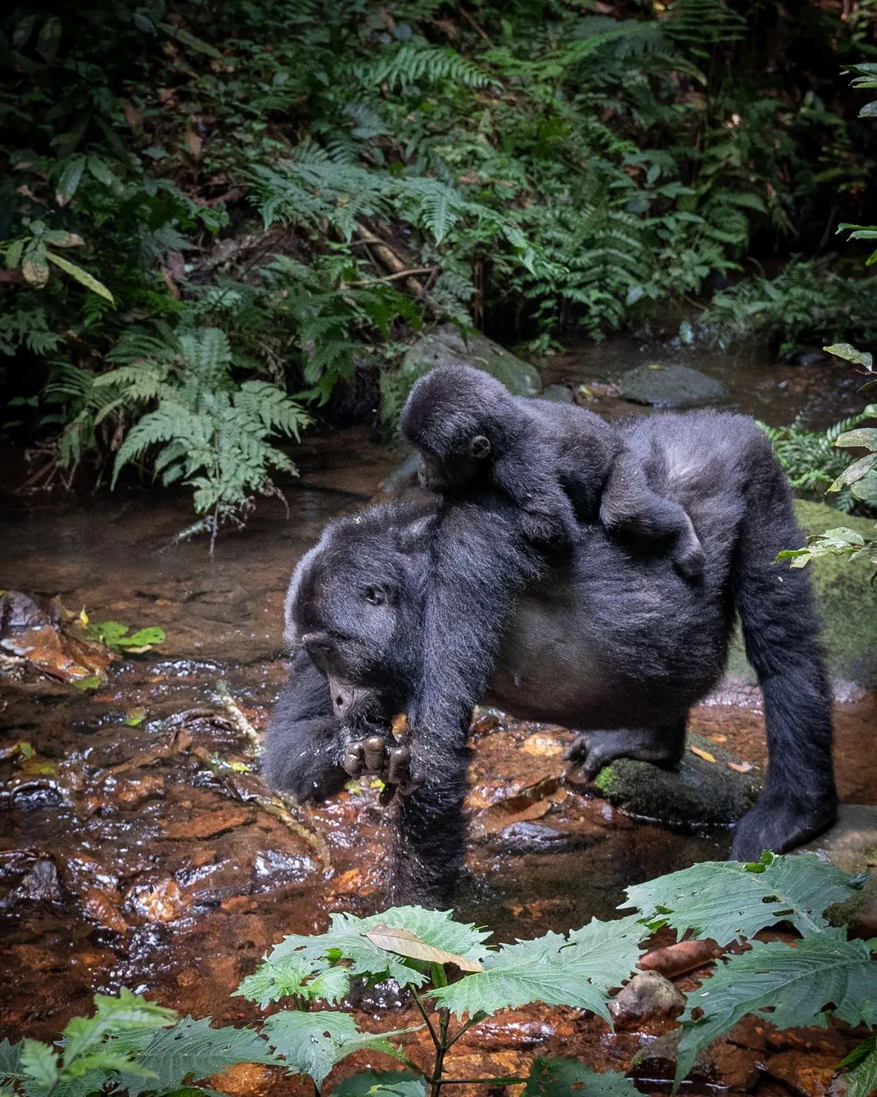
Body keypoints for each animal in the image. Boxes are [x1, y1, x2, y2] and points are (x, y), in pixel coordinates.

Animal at [265, 408, 838, 903]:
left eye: (329, 653)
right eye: (313, 656)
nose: (340, 700)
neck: (413, 564)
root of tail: (721, 421)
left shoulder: (467, 559)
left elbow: (436, 768)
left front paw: (404, 931)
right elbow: (287, 752)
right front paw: (360, 747)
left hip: (751, 469)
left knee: (784, 645)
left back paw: (797, 808)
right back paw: (652, 740)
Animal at [403, 364, 706, 579]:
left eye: (430, 456)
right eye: (419, 452)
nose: (421, 471)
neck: (502, 436)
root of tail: (619, 441)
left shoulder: (519, 464)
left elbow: (551, 523)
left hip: (625, 463)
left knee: (625, 510)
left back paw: (683, 527)